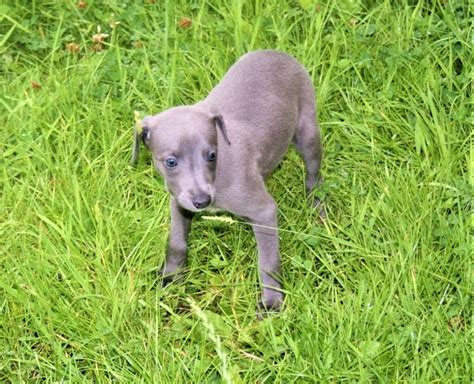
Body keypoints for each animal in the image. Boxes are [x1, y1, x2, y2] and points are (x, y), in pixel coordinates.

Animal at [133, 49, 326, 314]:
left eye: (212, 155)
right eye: (171, 162)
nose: (202, 201)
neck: (216, 177)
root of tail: (276, 52)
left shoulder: (264, 211)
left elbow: (268, 260)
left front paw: (271, 302)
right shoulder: (179, 201)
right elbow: (176, 242)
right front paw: (171, 278)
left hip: (307, 130)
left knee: (314, 176)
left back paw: (317, 208)